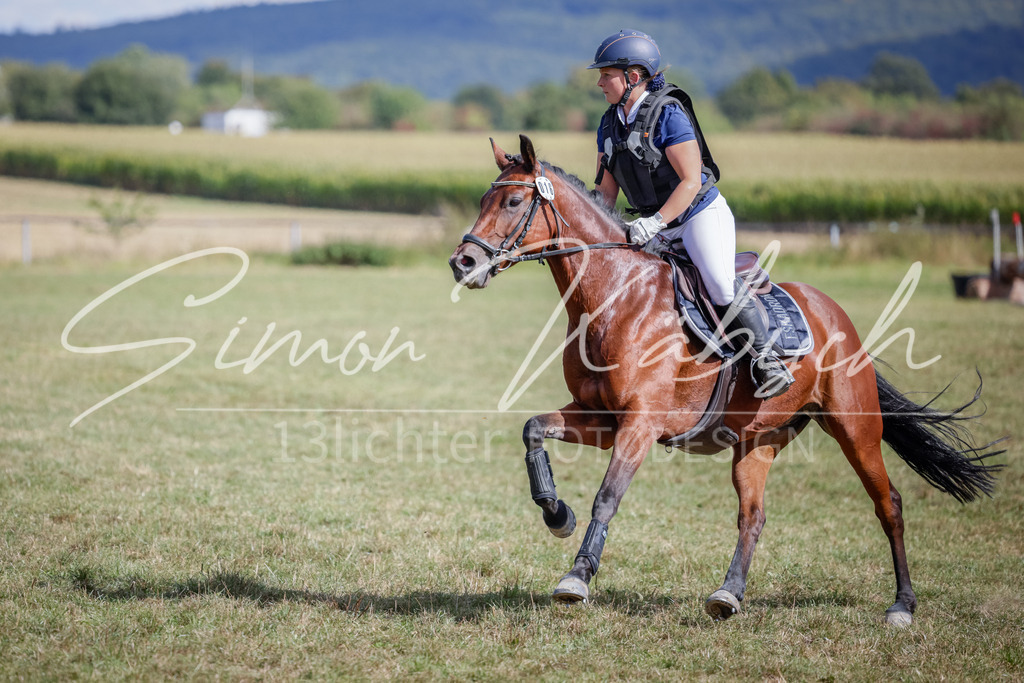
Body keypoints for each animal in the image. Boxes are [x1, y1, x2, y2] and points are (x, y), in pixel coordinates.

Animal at [448, 134, 1003, 625]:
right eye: (483, 200)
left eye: (513, 200)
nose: (462, 262)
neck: (614, 295)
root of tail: (836, 315)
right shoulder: (601, 419)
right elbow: (533, 430)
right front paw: (555, 513)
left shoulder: (640, 424)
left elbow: (608, 495)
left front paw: (577, 577)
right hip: (757, 441)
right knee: (752, 516)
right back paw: (727, 595)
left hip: (855, 427)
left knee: (889, 504)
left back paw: (902, 606)